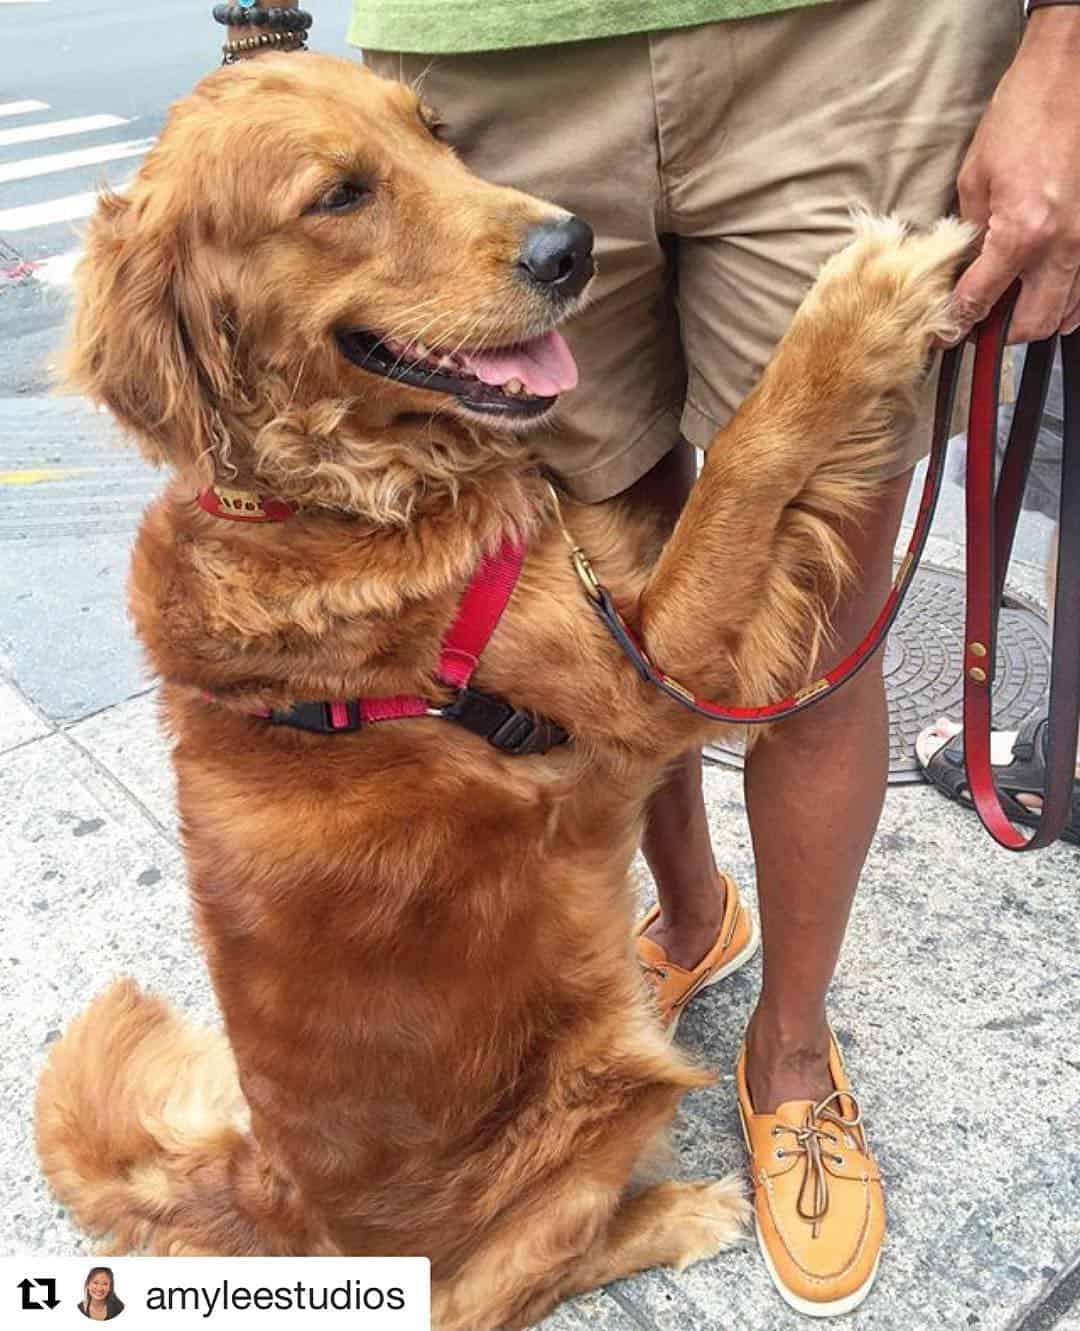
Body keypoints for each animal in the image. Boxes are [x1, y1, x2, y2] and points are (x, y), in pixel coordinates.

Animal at [35, 51, 969, 1331]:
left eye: (435, 133)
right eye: (339, 195)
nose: (572, 246)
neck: (331, 501)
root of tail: (286, 1213)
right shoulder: (652, 676)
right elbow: (749, 450)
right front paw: (865, 302)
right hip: (597, 1098)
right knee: (525, 1277)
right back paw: (676, 1212)